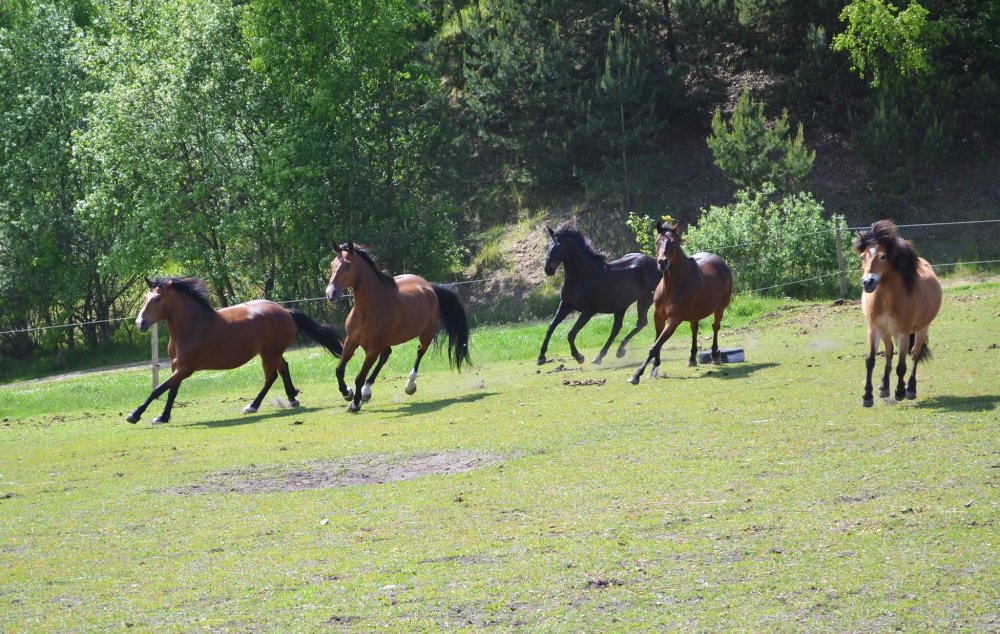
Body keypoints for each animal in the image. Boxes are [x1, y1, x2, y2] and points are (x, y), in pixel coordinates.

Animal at [127, 274, 344, 422]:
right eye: (145, 298)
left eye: (157, 299)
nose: (140, 323)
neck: (193, 326)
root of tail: (285, 311)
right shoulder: (176, 367)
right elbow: (171, 391)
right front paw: (163, 417)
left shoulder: (185, 369)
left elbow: (158, 389)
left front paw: (134, 414)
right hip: (271, 352)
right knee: (283, 369)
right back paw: (291, 398)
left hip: (269, 354)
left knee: (271, 377)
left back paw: (253, 406)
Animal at [326, 239, 470, 412]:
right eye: (332, 265)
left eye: (348, 265)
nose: (331, 293)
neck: (367, 310)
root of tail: (429, 287)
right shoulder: (351, 341)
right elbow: (339, 370)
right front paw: (347, 393)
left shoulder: (372, 349)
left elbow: (359, 377)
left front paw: (354, 403)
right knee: (386, 354)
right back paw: (367, 392)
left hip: (426, 335)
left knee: (419, 351)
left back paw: (409, 386)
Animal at [624, 218, 736, 386]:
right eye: (657, 242)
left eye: (672, 243)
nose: (662, 263)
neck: (672, 287)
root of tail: (721, 262)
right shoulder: (658, 316)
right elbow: (657, 342)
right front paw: (654, 368)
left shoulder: (674, 320)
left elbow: (655, 346)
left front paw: (636, 375)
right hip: (696, 313)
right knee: (694, 330)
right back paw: (692, 359)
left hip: (719, 309)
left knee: (715, 327)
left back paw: (715, 356)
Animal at [856, 217, 940, 404]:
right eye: (862, 256)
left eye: (883, 256)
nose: (867, 282)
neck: (887, 299)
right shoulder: (874, 329)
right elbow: (870, 361)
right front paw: (867, 396)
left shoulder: (903, 333)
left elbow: (901, 366)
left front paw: (900, 391)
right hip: (886, 332)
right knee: (888, 353)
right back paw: (884, 387)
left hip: (922, 329)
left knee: (915, 355)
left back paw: (911, 389)